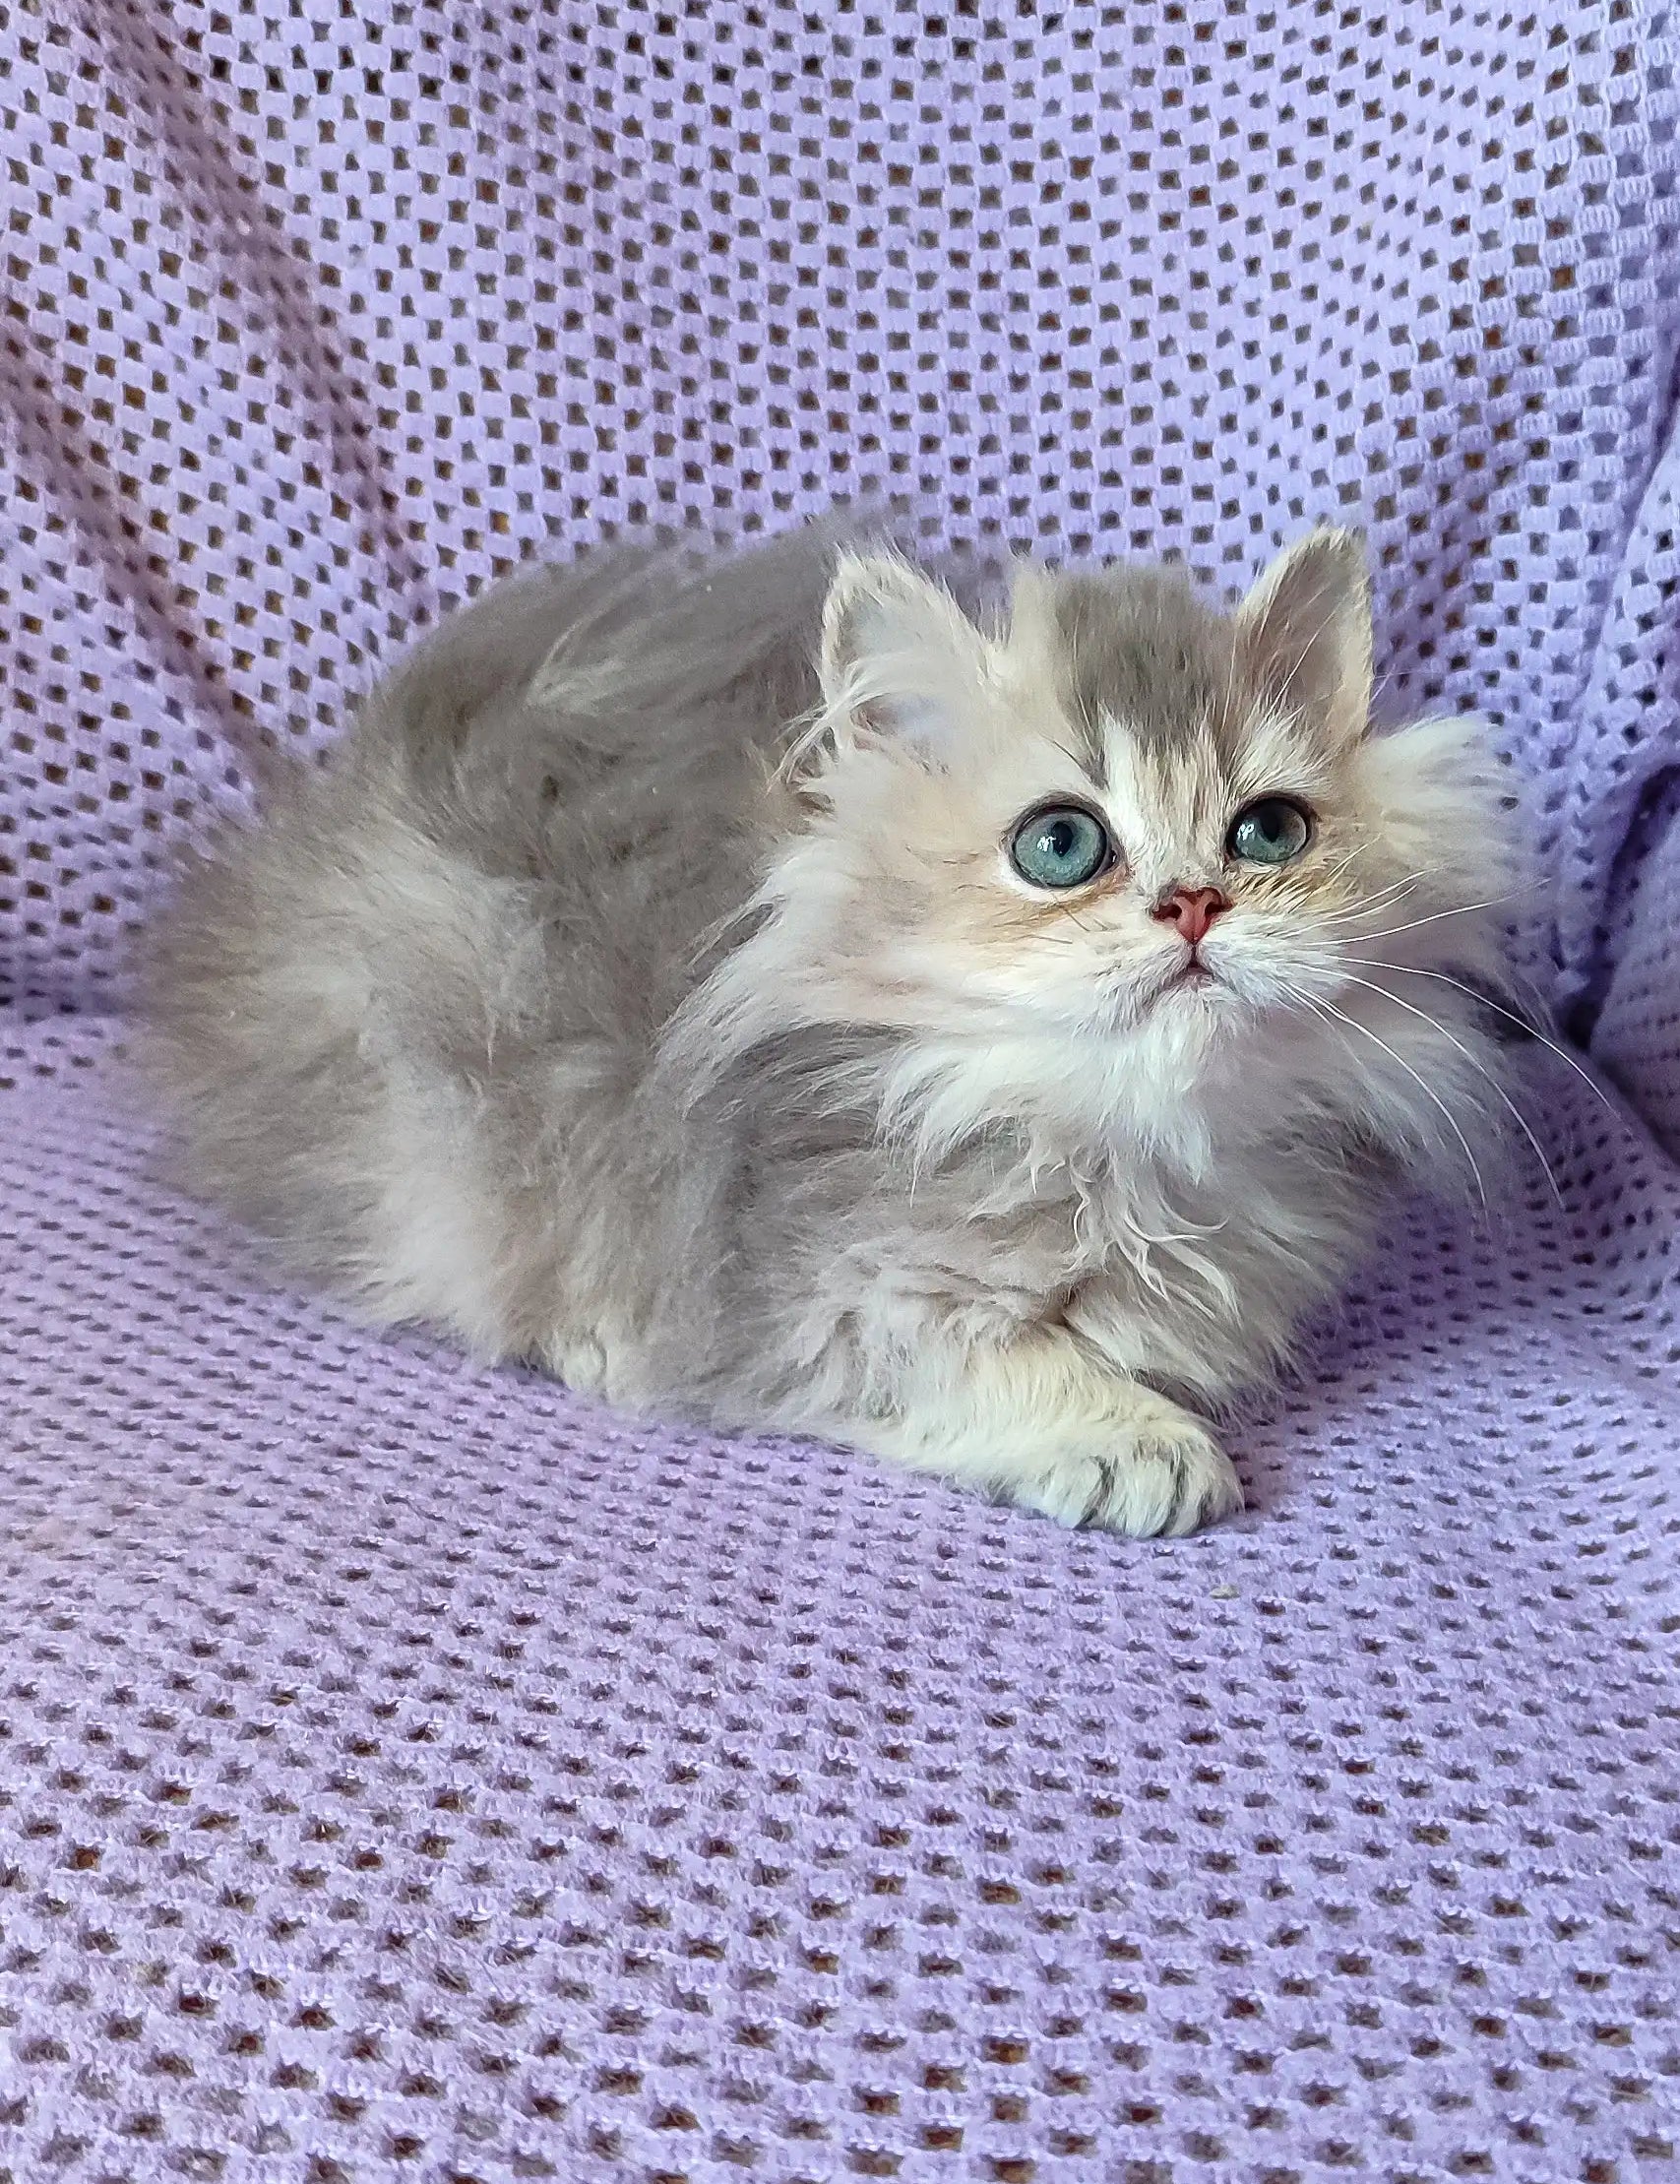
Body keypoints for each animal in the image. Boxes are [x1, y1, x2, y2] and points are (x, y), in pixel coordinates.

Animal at [147, 524, 1520, 1537]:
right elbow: (1004, 1360)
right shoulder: (825, 1300)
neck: (1119, 1142)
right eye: (1061, 843)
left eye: (1270, 832)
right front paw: (1138, 1439)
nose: (1194, 902)